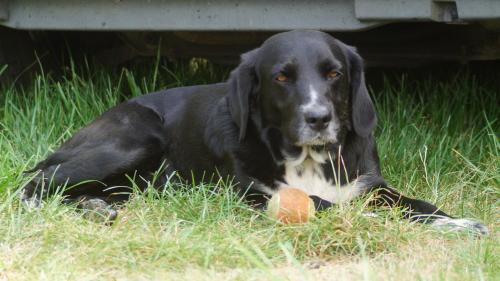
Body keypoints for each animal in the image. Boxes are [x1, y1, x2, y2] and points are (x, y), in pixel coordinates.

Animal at [20, 29, 488, 233]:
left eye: (334, 73)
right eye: (281, 77)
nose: (319, 118)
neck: (309, 159)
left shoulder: (370, 184)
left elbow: (416, 204)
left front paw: (457, 222)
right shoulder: (252, 194)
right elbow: (333, 208)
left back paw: (97, 208)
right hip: (138, 139)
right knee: (36, 183)